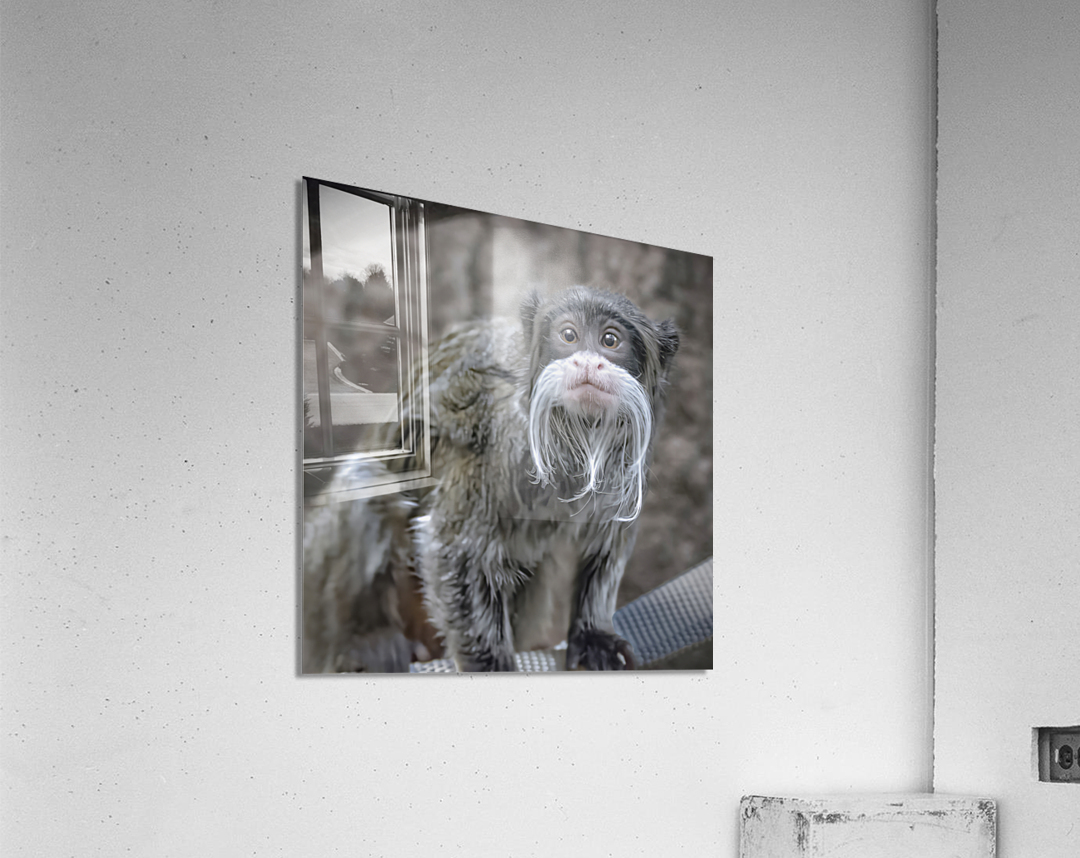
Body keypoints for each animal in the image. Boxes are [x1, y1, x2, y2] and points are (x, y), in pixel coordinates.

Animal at [301, 285, 678, 672]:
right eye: (569, 335)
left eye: (610, 340)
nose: (588, 363)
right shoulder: (498, 441)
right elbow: (455, 549)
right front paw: (490, 665)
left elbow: (606, 547)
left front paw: (593, 634)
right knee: (365, 483)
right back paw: (362, 643)